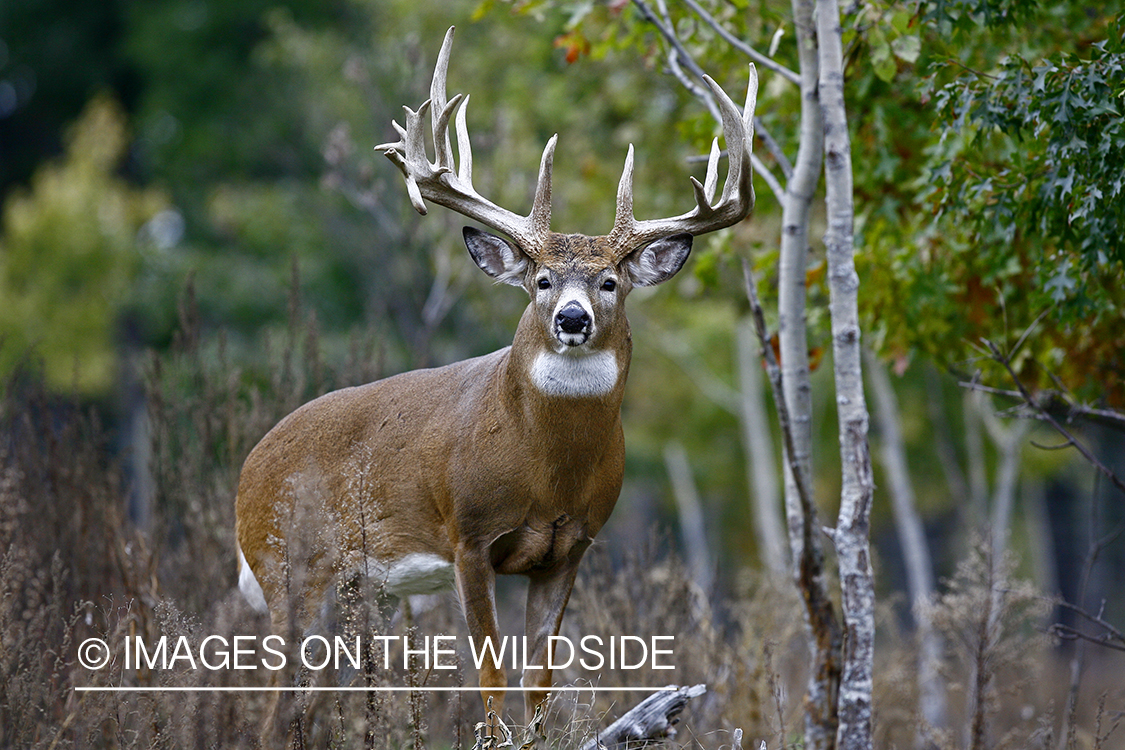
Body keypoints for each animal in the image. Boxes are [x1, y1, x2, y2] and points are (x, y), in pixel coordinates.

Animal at [235, 26, 756, 737]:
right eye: (541, 280)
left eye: (610, 282)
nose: (571, 318)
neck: (546, 467)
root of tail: (245, 474)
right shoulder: (469, 536)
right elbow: (490, 679)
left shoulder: (571, 547)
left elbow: (540, 684)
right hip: (286, 567)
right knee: (272, 707)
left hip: (352, 590)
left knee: (307, 707)